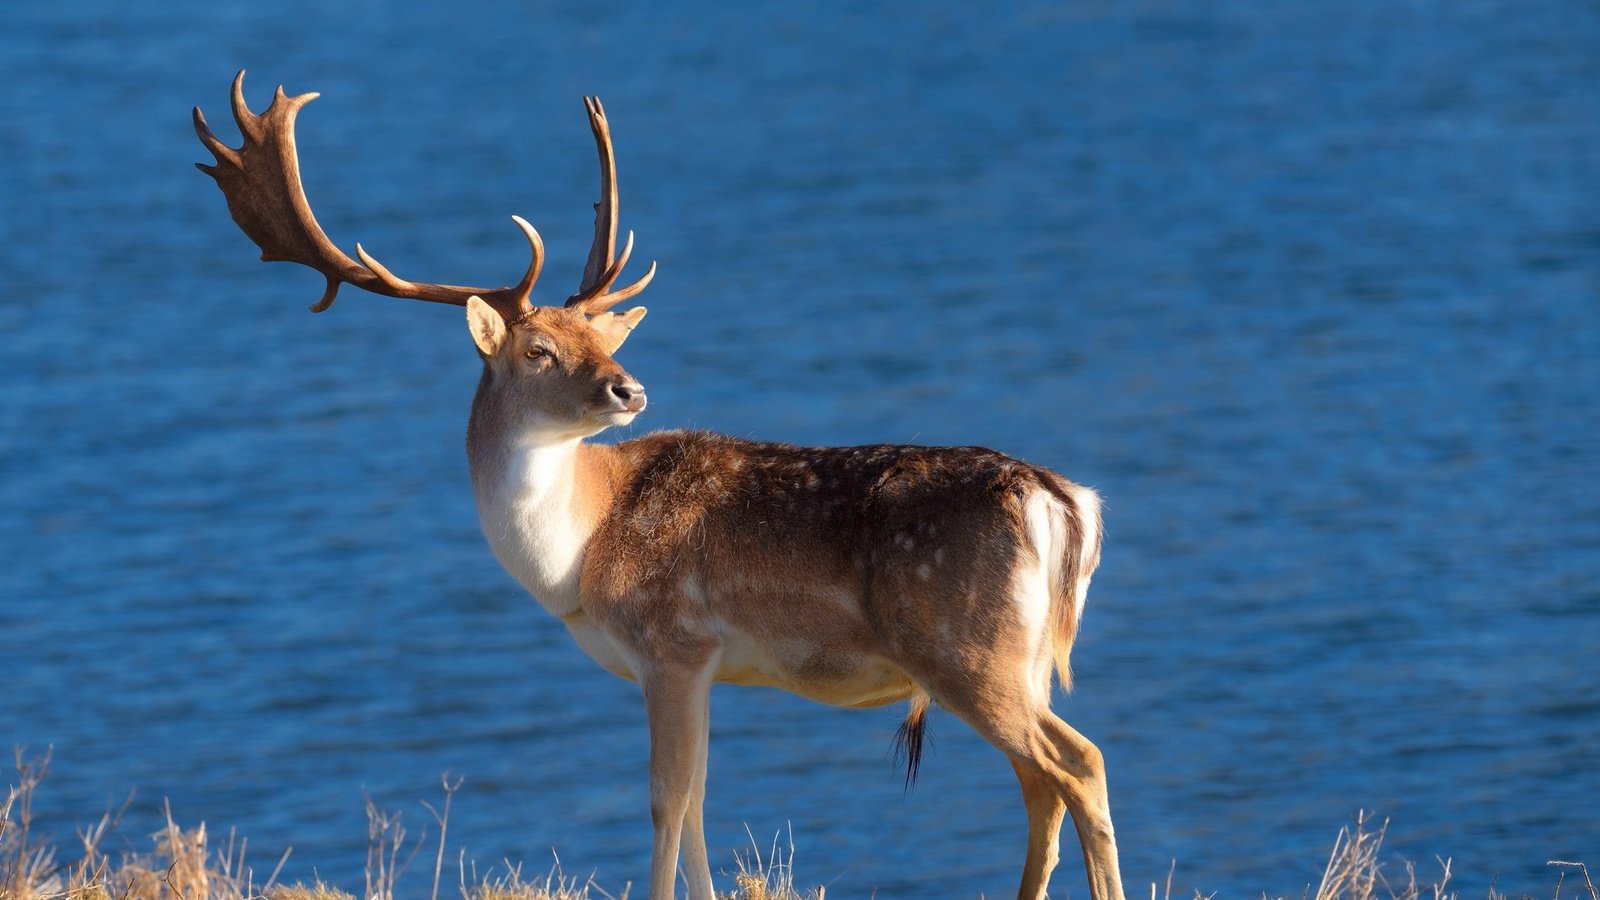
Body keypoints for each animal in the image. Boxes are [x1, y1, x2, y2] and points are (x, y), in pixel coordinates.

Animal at [193, 71, 1126, 896]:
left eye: (600, 340)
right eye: (541, 348)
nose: (628, 388)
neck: (577, 556)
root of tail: (1067, 502)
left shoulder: (670, 643)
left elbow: (665, 802)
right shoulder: (704, 666)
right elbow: (703, 802)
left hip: (967, 648)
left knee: (1078, 761)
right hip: (1021, 660)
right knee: (1043, 783)